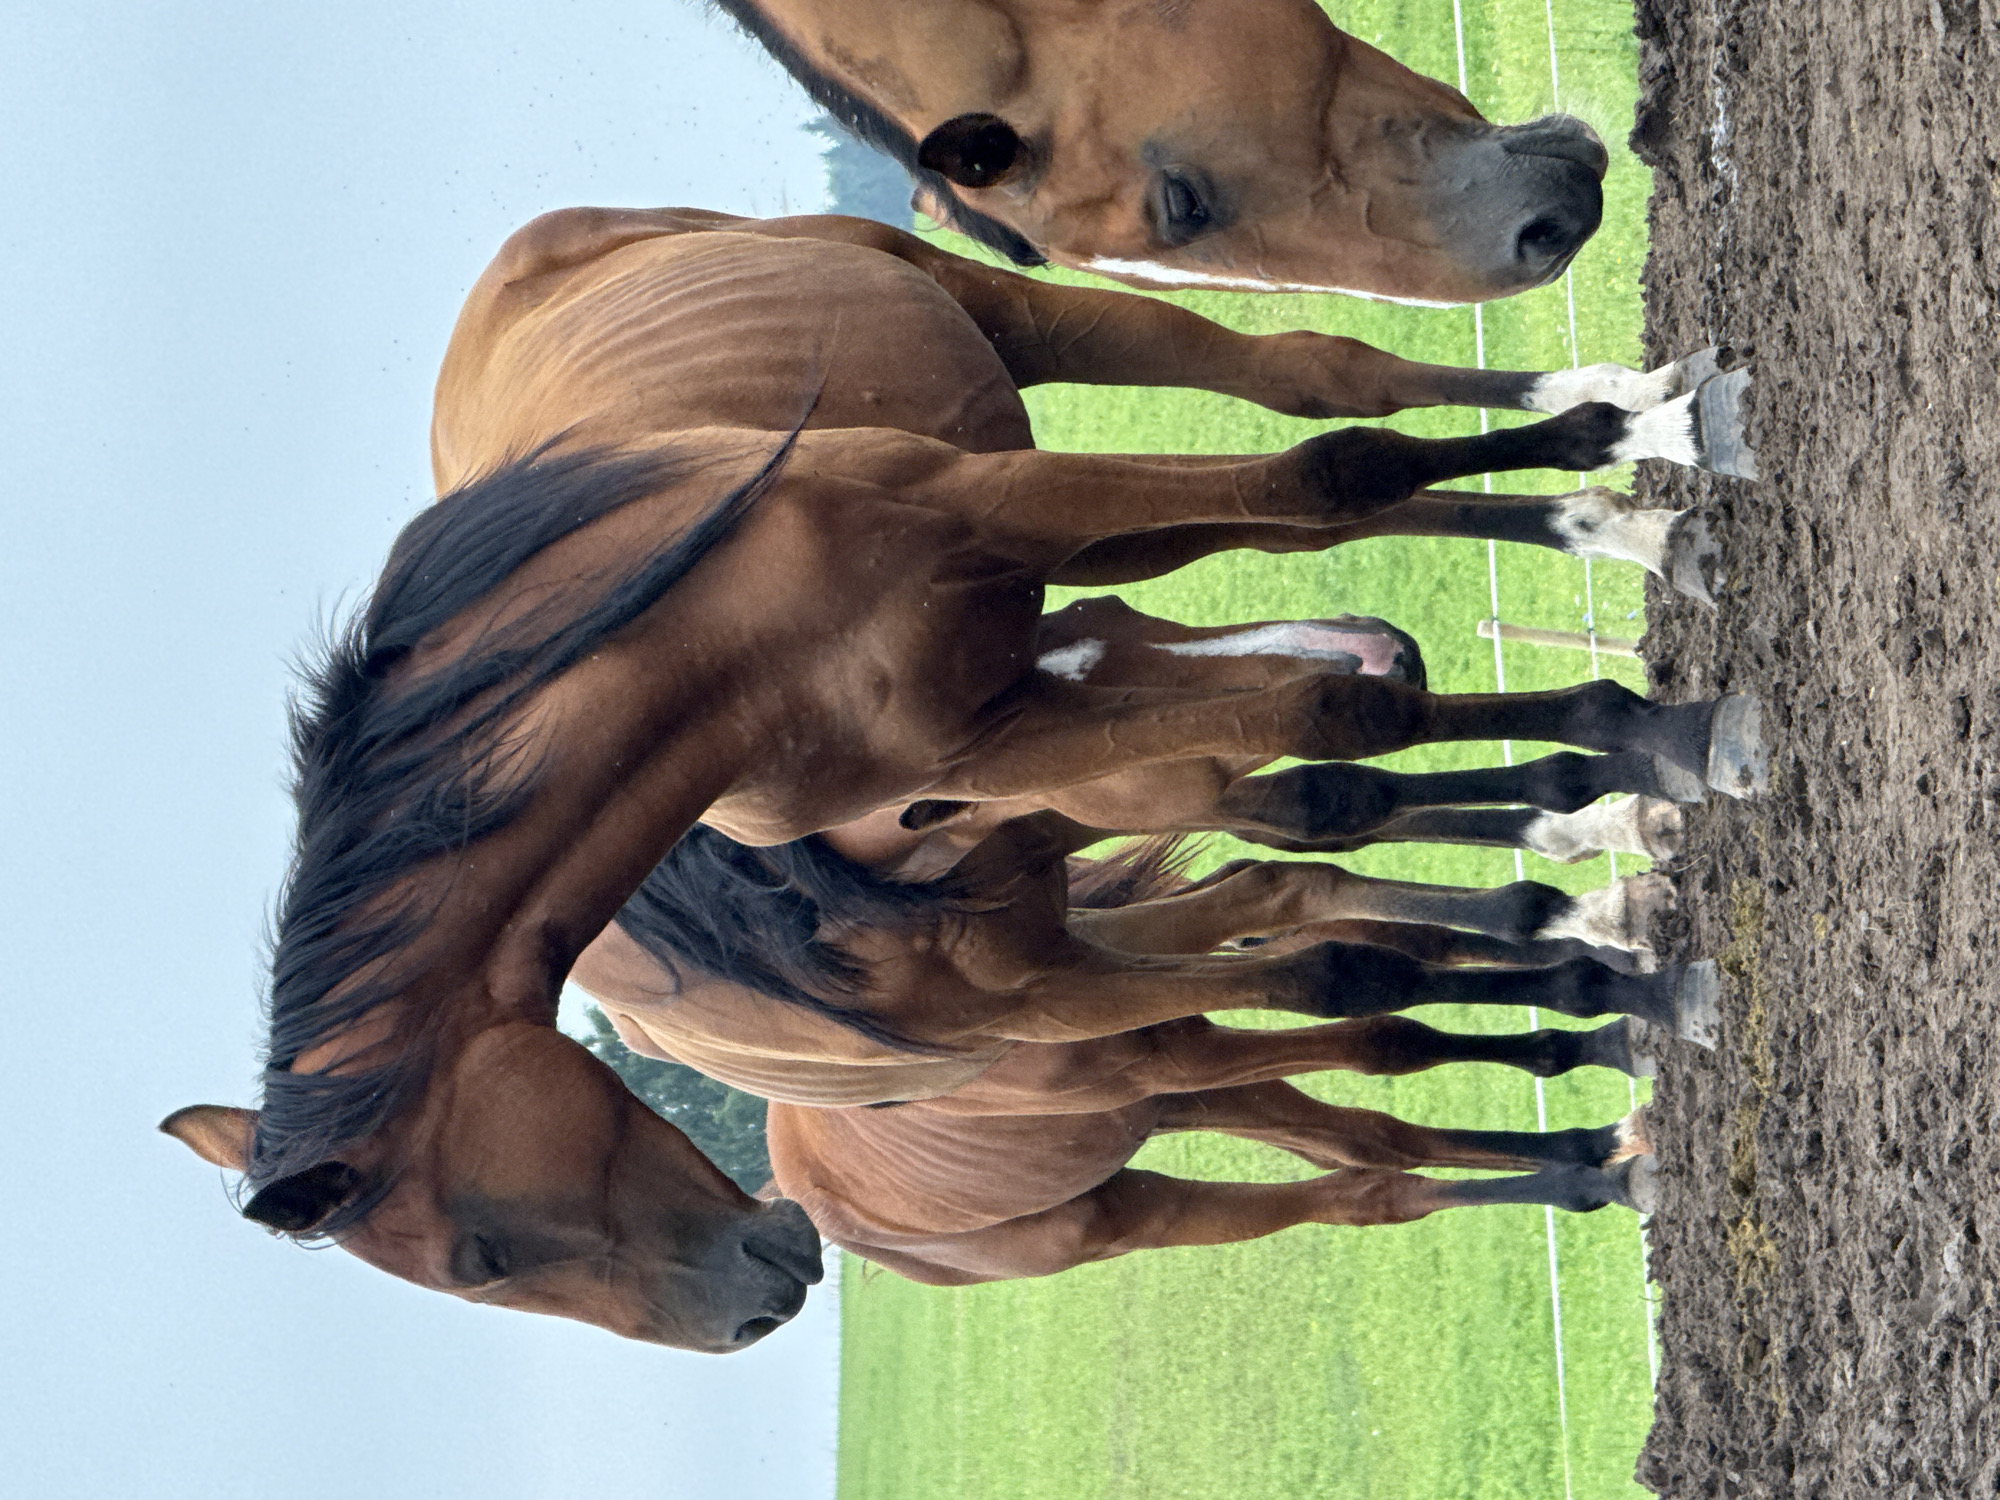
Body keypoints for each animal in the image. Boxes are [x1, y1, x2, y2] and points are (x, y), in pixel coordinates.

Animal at [162, 207, 1755, 1350]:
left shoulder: (1001, 520)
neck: (736, 660)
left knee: (1316, 388)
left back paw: (1622, 438)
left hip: (994, 332)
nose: (753, 1298)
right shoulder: (1001, 760)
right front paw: (1609, 856)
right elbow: (1333, 832)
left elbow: (1335, 485)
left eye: (475, 1258)